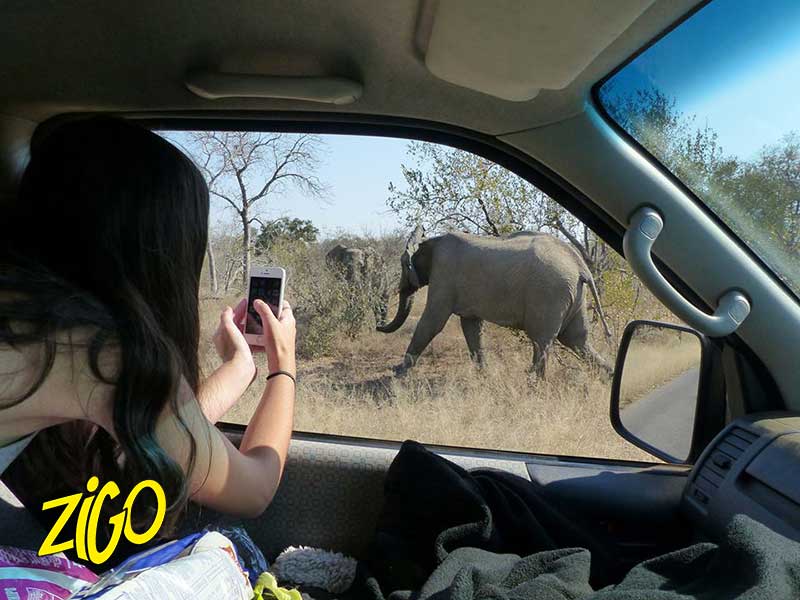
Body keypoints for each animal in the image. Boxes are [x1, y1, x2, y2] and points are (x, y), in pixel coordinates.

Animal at [376, 226, 612, 377]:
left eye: (402, 266)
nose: (378, 327)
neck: (431, 241)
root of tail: (581, 266)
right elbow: (471, 326)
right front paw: (484, 374)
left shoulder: (443, 274)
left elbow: (432, 322)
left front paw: (398, 373)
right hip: (573, 295)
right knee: (576, 340)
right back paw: (607, 378)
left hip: (550, 293)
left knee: (542, 340)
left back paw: (532, 385)